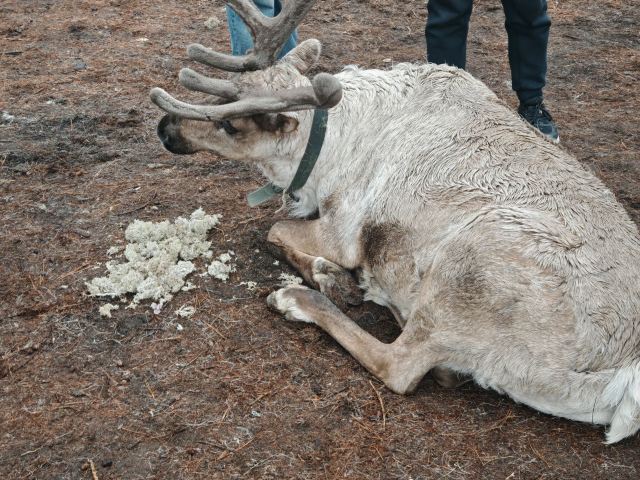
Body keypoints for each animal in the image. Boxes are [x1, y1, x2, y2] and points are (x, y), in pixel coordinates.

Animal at [151, 0, 640, 443]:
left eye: (231, 126)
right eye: (217, 94)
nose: (165, 127)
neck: (328, 145)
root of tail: (619, 375)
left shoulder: (341, 228)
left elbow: (273, 230)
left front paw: (330, 276)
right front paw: (331, 275)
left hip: (470, 262)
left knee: (402, 365)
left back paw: (303, 299)